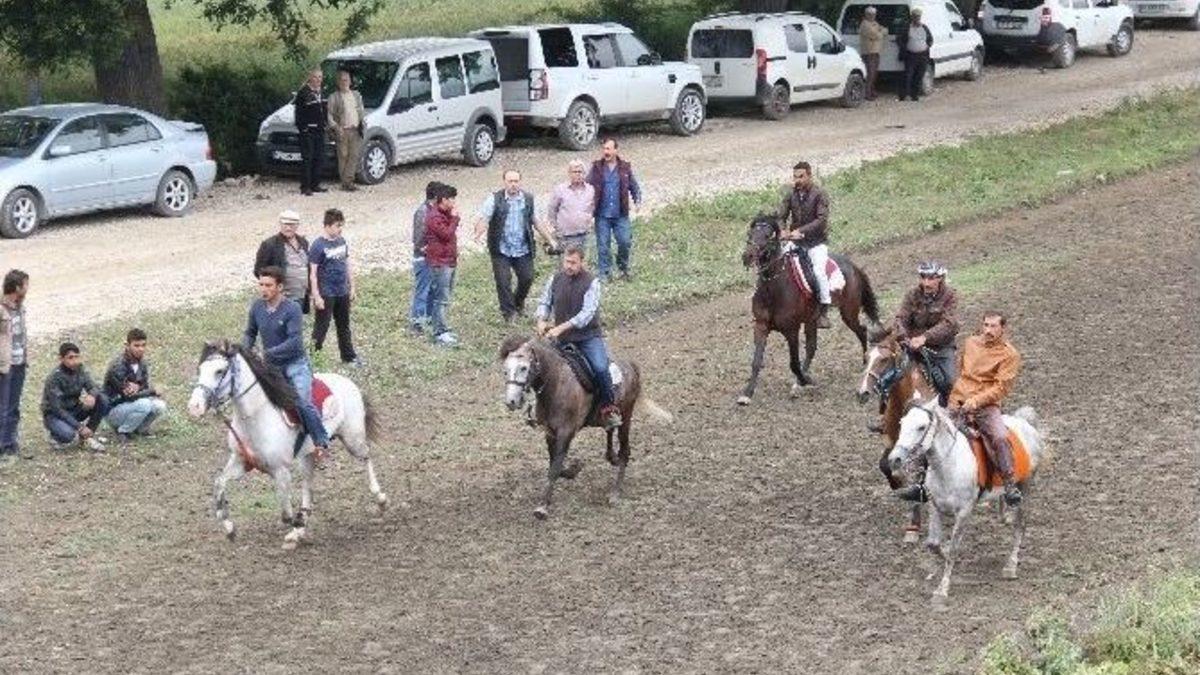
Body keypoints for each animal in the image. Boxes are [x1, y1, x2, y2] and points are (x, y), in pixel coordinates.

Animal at [187, 340, 387, 549]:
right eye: (200, 369)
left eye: (220, 371)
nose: (194, 407)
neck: (256, 417)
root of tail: (348, 382)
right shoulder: (241, 462)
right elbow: (219, 483)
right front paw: (229, 528)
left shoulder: (281, 470)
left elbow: (285, 513)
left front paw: (297, 524)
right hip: (308, 456)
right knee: (308, 484)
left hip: (352, 439)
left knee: (366, 456)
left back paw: (380, 499)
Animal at [499, 336, 673, 520]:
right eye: (505, 370)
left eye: (523, 367)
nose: (511, 402)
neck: (556, 383)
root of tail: (630, 366)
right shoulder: (550, 433)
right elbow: (555, 464)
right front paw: (574, 469)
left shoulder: (566, 432)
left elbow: (555, 467)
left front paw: (542, 507)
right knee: (610, 431)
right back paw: (611, 457)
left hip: (626, 415)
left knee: (625, 451)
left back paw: (615, 492)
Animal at [738, 213, 881, 404]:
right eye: (751, 232)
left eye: (768, 235)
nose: (747, 256)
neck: (773, 287)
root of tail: (853, 266)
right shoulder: (761, 326)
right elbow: (756, 361)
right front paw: (747, 393)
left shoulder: (791, 329)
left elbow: (793, 363)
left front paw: (806, 380)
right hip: (812, 319)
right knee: (812, 348)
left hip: (848, 312)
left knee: (862, 330)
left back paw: (864, 364)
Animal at [856, 327, 939, 543]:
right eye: (866, 358)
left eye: (884, 360)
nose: (862, 393)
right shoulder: (892, 440)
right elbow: (884, 464)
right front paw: (898, 482)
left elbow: (918, 477)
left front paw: (914, 525)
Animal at [887, 400, 1047, 600]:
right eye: (902, 423)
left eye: (921, 427)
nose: (895, 459)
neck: (949, 466)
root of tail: (1026, 423)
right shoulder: (935, 507)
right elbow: (933, 544)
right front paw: (944, 555)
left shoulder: (963, 512)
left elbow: (953, 549)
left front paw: (942, 589)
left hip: (1026, 487)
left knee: (1021, 526)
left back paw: (1011, 566)